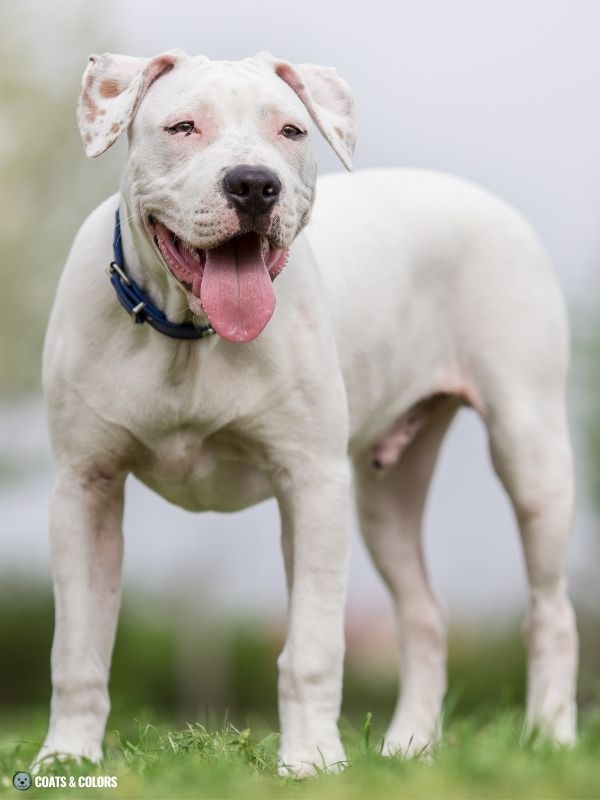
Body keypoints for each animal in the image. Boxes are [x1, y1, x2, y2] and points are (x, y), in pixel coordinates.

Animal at [36, 50, 576, 776]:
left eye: (291, 130)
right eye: (183, 126)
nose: (253, 184)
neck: (188, 337)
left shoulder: (313, 484)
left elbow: (313, 646)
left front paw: (313, 762)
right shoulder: (84, 488)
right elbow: (77, 649)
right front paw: (65, 759)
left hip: (530, 450)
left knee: (550, 611)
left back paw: (550, 737)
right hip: (384, 496)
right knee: (424, 614)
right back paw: (410, 746)